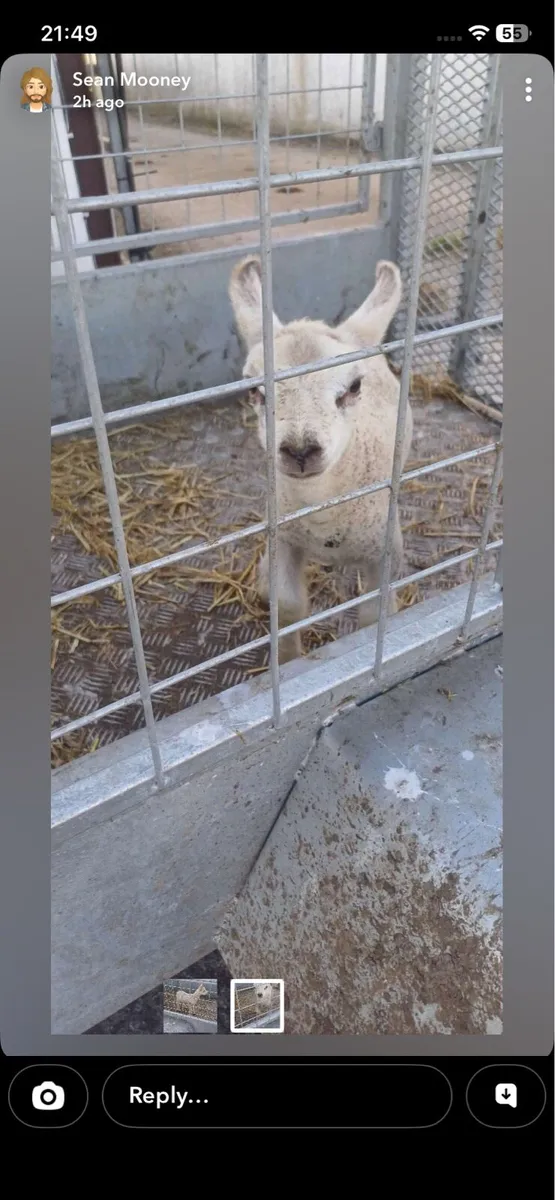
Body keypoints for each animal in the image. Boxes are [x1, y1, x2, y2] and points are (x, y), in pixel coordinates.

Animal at [228, 255, 413, 665]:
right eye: (254, 391)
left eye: (355, 386)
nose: (299, 450)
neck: (322, 513)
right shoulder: (284, 538)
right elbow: (289, 606)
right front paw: (288, 662)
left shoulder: (386, 549)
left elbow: (373, 615)